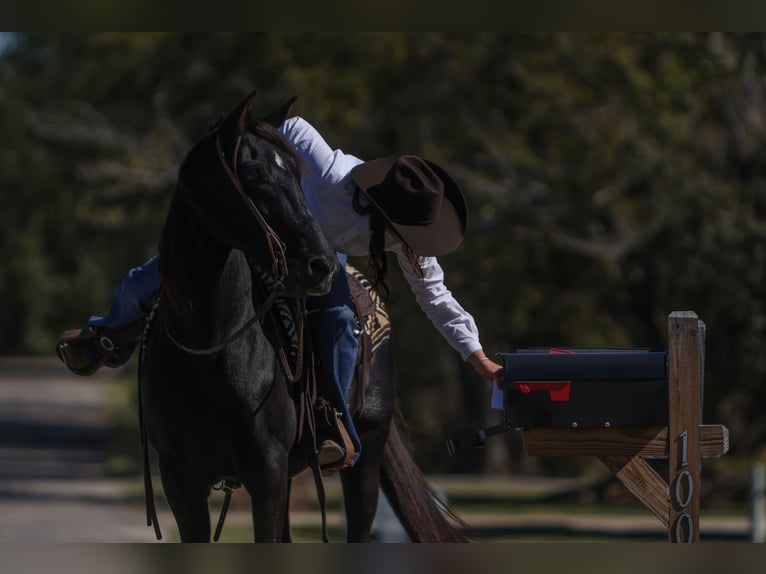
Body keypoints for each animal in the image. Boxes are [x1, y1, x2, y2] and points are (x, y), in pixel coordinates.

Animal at [138, 91, 467, 543]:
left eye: (296, 172)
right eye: (253, 172)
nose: (321, 264)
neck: (210, 349)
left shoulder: (267, 474)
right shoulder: (180, 480)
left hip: (366, 453)